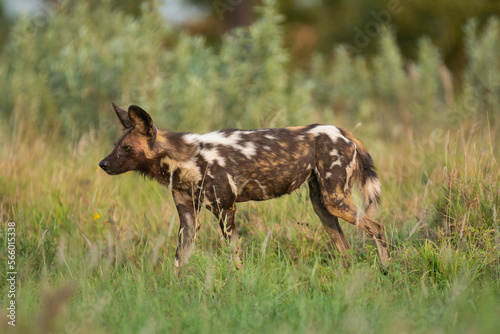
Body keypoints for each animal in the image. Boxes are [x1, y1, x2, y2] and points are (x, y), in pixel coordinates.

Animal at [99, 103, 390, 272]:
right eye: (116, 145)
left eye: (127, 148)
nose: (102, 164)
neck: (187, 159)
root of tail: (343, 132)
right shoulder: (188, 221)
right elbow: (179, 262)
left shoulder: (226, 211)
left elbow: (234, 257)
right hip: (323, 206)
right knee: (345, 248)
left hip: (335, 200)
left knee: (378, 228)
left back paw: (388, 270)